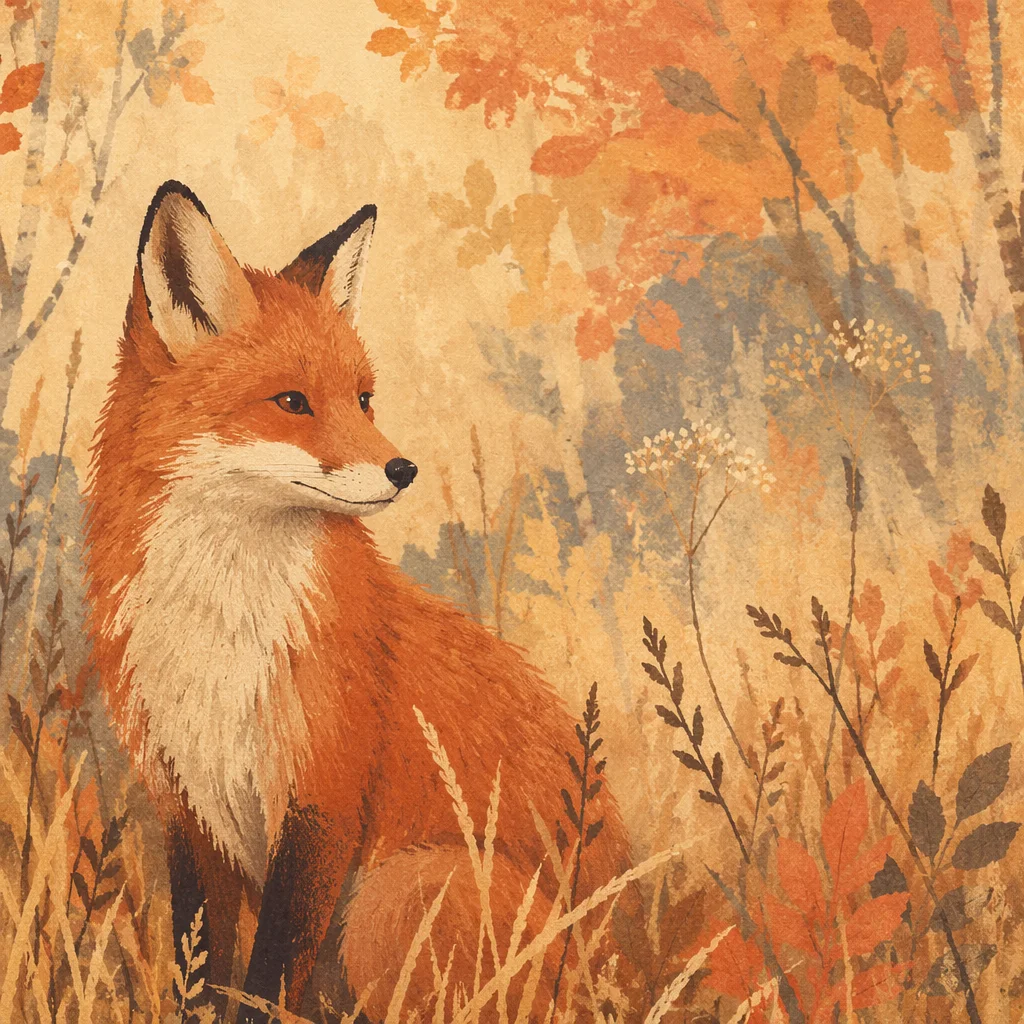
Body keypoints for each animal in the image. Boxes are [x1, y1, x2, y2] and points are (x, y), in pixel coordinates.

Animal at [83, 181, 634, 1022]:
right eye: (292, 401)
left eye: (365, 399)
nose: (403, 469)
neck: (223, 625)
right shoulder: (187, 805)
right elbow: (199, 969)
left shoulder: (323, 797)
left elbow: (268, 977)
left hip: (394, 892)